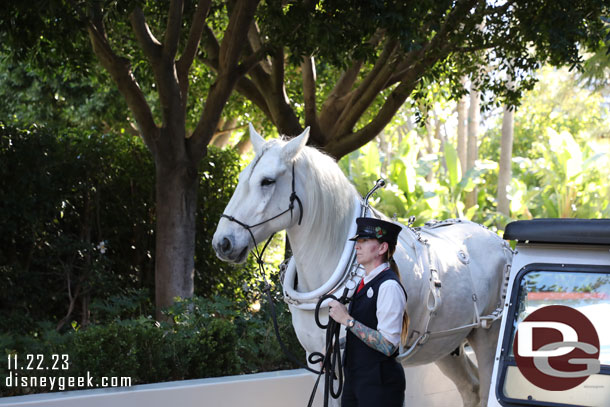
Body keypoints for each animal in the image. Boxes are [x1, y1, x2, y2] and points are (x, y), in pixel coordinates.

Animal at [211, 126, 510, 406]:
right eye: (241, 178)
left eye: (267, 181)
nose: (222, 243)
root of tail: (500, 241)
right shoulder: (321, 357)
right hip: (443, 345)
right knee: (471, 388)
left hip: (488, 336)